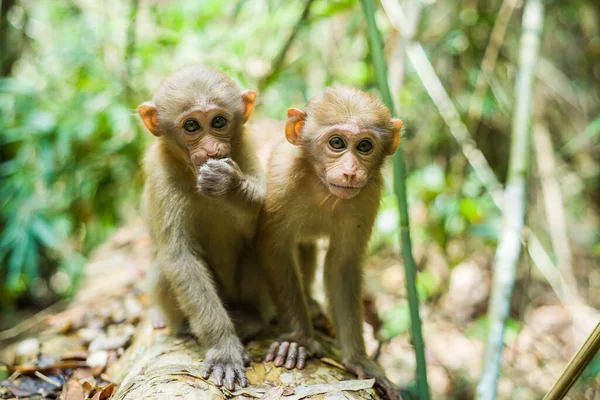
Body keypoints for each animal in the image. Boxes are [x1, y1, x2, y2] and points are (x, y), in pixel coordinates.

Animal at [137, 65, 270, 390]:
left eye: (219, 122)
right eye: (192, 126)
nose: (210, 150)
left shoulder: (244, 147)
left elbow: (262, 217)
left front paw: (228, 185)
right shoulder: (162, 176)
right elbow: (181, 259)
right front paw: (223, 349)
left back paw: (251, 318)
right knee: (164, 269)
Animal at [258, 87, 404, 396]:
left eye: (364, 146)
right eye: (336, 142)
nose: (350, 171)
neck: (320, 186)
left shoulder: (368, 195)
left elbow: (342, 266)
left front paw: (359, 359)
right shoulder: (282, 175)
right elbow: (275, 249)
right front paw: (298, 339)